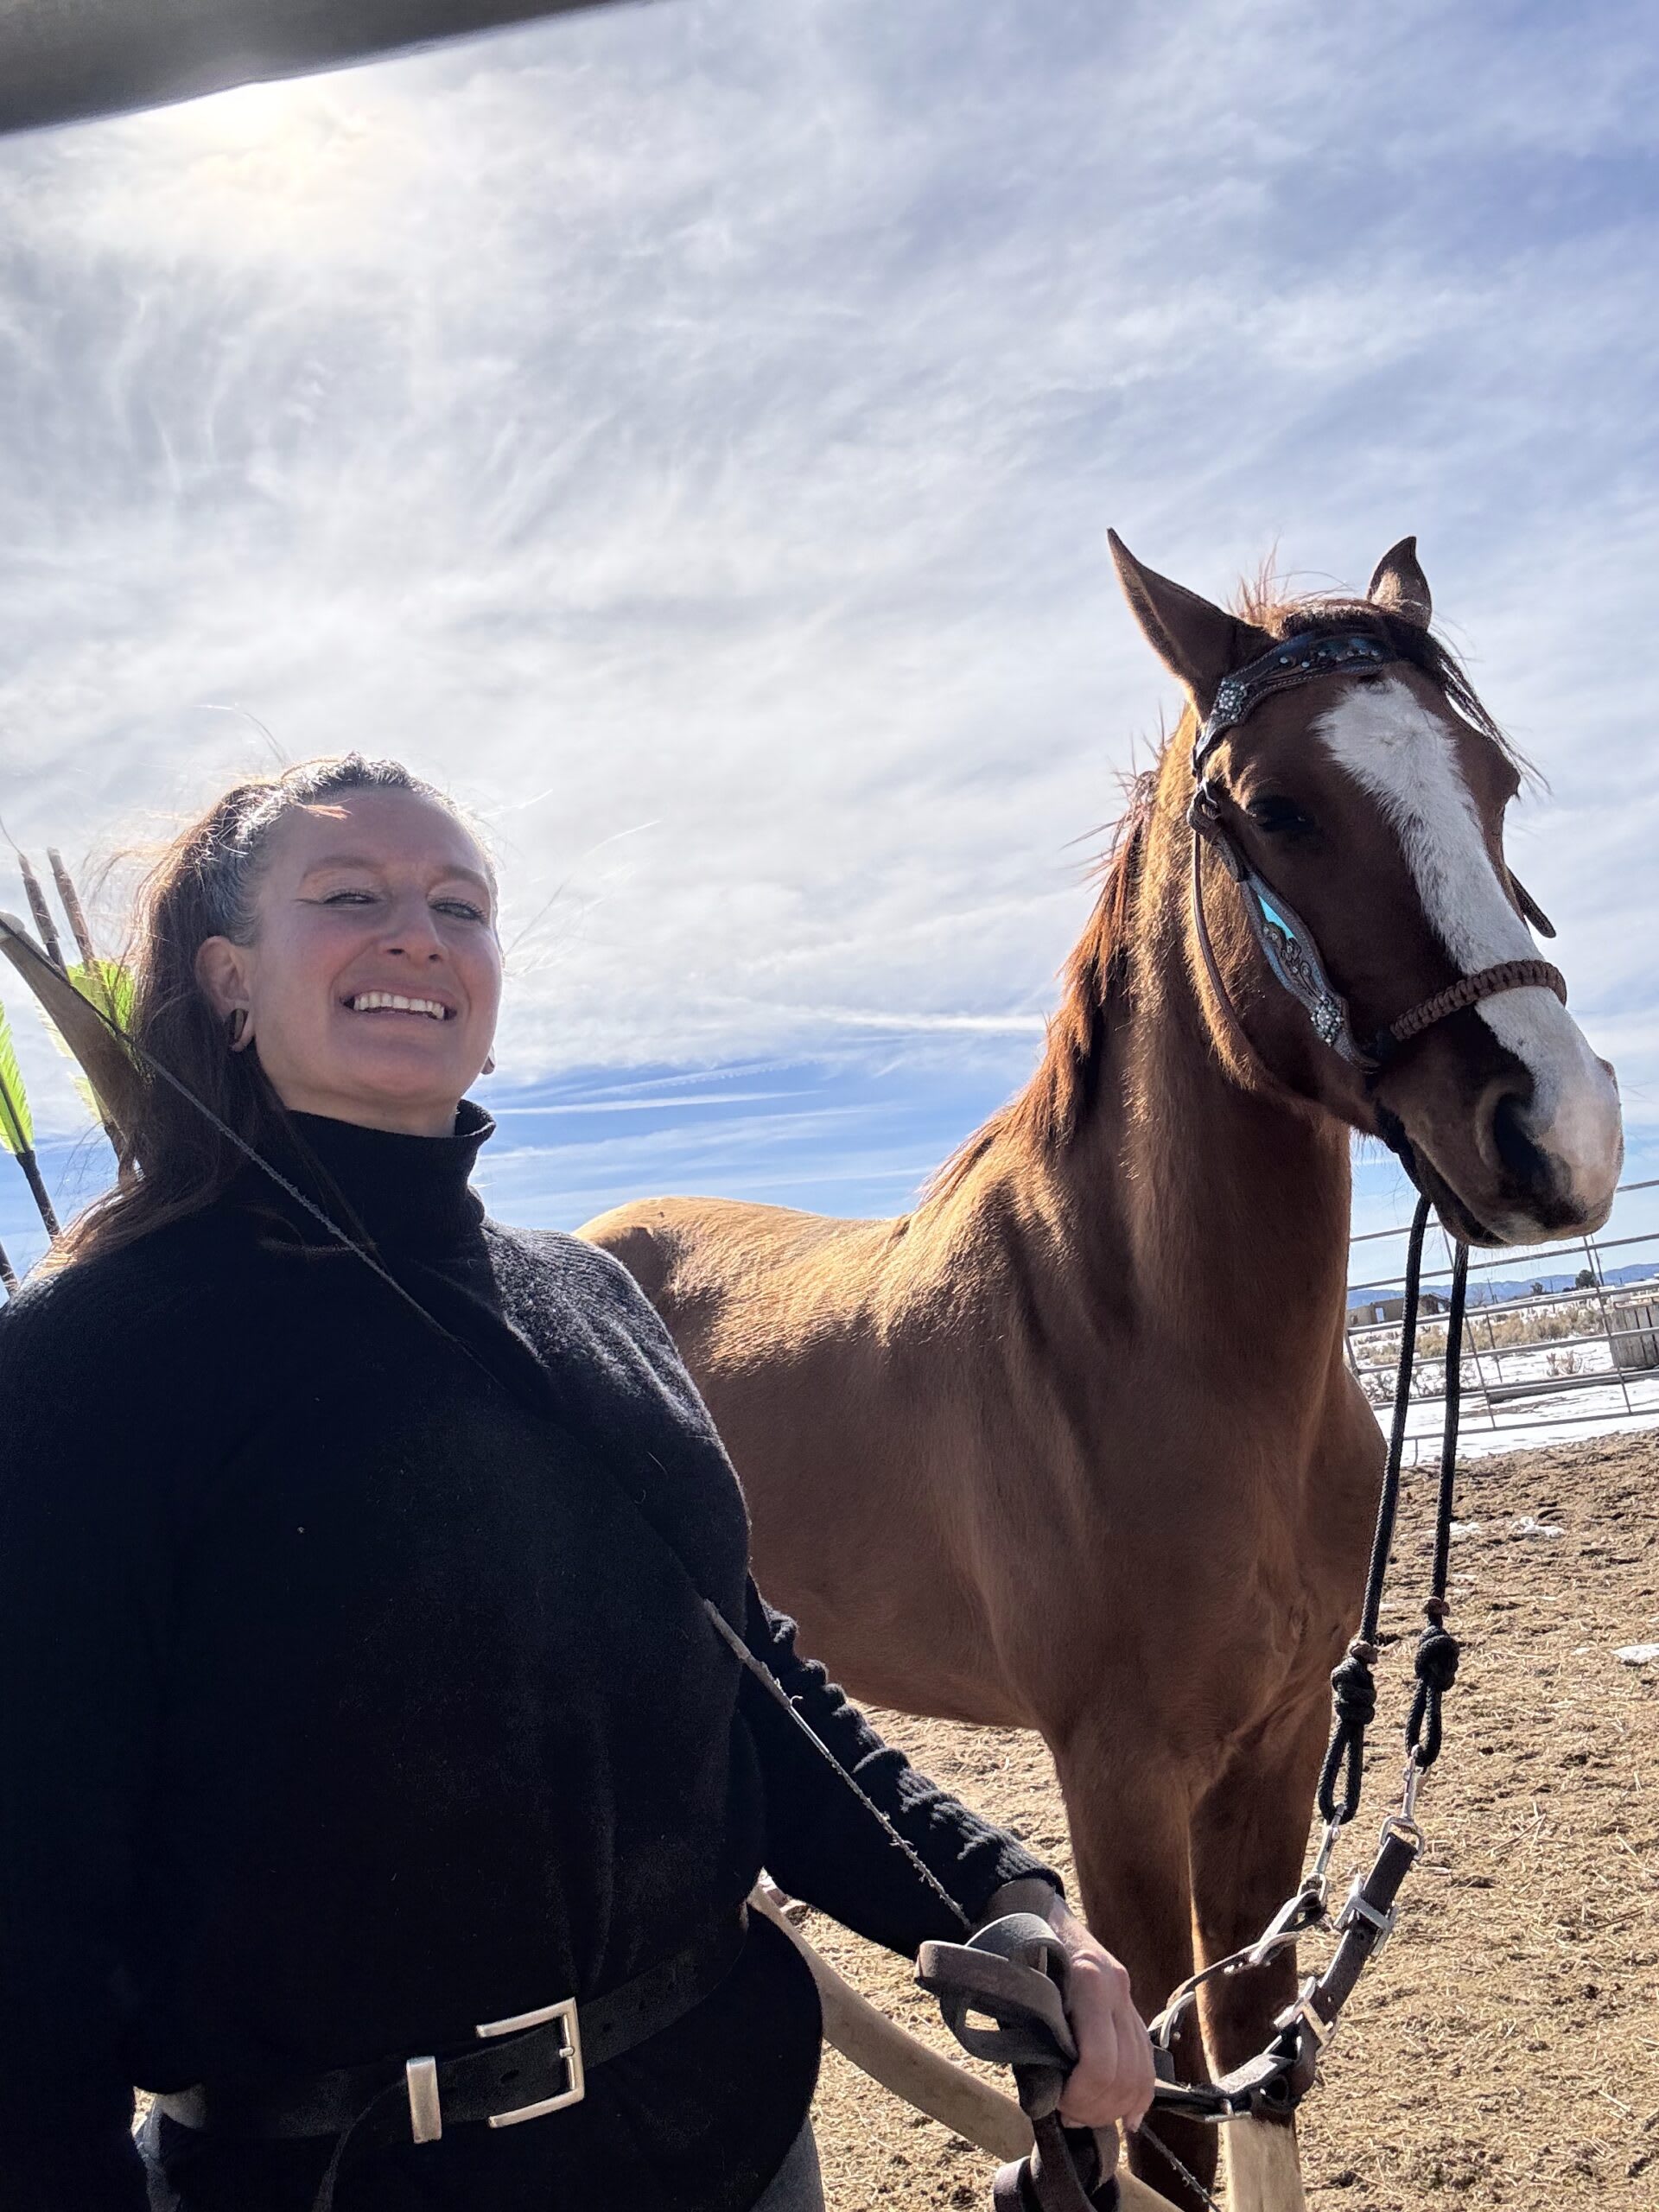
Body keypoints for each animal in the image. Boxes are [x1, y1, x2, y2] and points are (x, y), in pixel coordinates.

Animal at [581, 536, 1623, 2210]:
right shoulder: (1119, 1783)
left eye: (1495, 782)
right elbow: (1167, 2129)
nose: (1563, 1132)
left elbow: (1251, 2078)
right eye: (1280, 808)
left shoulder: (1272, 1761)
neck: (1155, 1350)